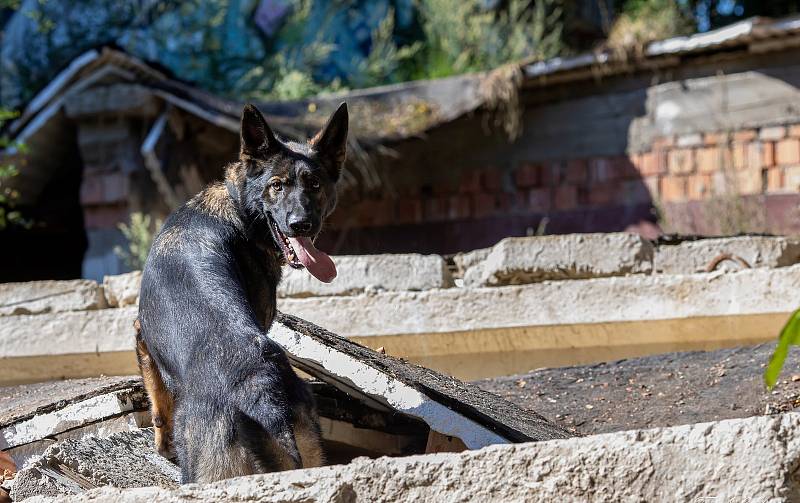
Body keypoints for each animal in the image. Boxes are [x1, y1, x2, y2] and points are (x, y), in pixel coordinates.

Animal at [135, 103, 346, 484]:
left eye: (315, 184)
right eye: (277, 186)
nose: (301, 224)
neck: (239, 210)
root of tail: (266, 400)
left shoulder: (142, 336)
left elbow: (158, 403)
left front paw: (161, 445)